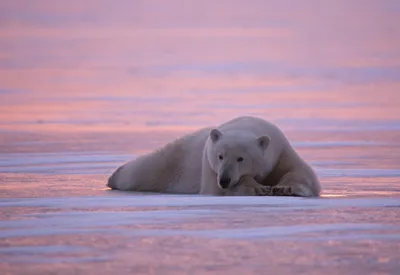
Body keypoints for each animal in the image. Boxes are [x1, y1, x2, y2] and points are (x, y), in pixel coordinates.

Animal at [107, 115, 322, 197]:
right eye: (220, 156)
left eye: (240, 158)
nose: (225, 179)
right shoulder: (208, 165)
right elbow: (215, 190)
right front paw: (258, 188)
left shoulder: (281, 151)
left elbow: (300, 173)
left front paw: (285, 188)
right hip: (171, 161)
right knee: (140, 171)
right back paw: (114, 176)